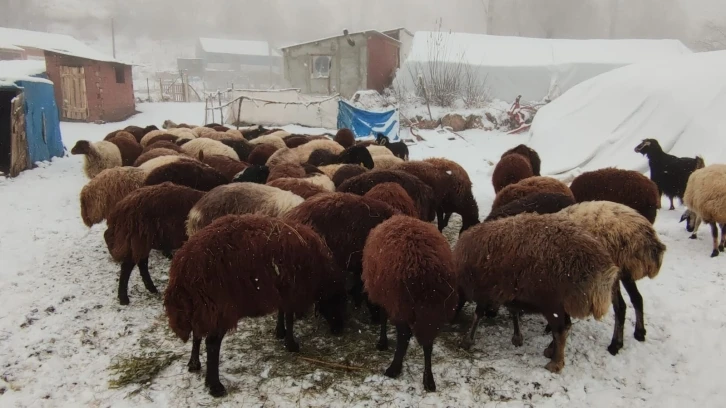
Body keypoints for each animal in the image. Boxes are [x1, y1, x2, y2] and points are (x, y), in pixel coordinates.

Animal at [166, 214, 348, 396]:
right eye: (338, 301)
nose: (339, 330)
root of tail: (182, 269)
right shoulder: (292, 290)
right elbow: (289, 317)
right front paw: (291, 344)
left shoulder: (281, 287)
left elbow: (281, 312)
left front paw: (280, 332)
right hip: (220, 308)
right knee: (211, 344)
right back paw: (215, 386)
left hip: (201, 306)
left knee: (197, 333)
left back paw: (194, 364)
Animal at [364, 215, 460, 390]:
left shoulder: (386, 297)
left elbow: (383, 317)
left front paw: (382, 342)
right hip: (432, 310)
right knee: (428, 341)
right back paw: (428, 380)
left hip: (403, 304)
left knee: (404, 337)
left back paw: (394, 368)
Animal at [456, 214, 620, 372]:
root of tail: (602, 272)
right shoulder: (510, 292)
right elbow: (513, 312)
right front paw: (517, 337)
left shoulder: (483, 290)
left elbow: (478, 314)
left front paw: (468, 340)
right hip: (561, 303)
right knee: (566, 326)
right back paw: (551, 351)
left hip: (552, 303)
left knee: (560, 330)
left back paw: (555, 363)